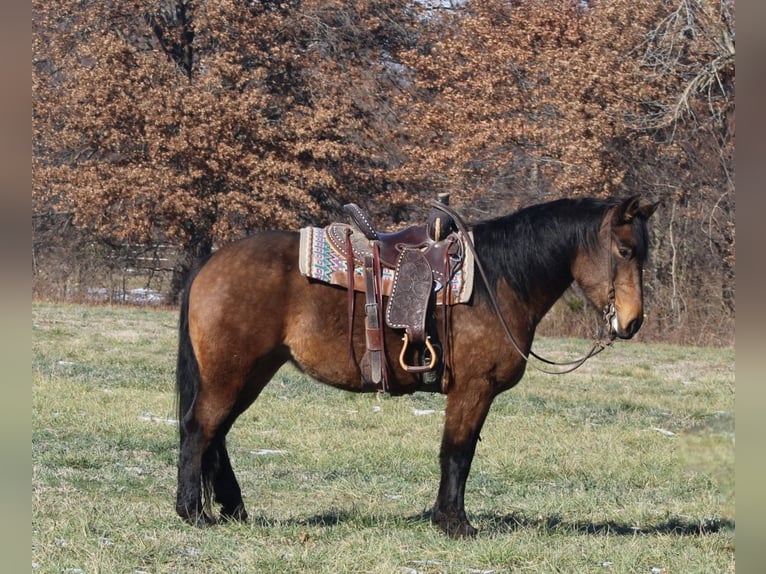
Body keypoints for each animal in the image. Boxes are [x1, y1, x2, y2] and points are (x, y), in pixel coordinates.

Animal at [174, 195, 658, 538]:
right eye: (624, 250)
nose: (632, 322)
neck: (497, 281)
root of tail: (209, 264)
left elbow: (460, 452)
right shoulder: (472, 389)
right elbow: (457, 453)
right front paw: (453, 522)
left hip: (252, 372)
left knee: (217, 434)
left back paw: (233, 509)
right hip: (231, 373)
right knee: (200, 429)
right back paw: (192, 511)